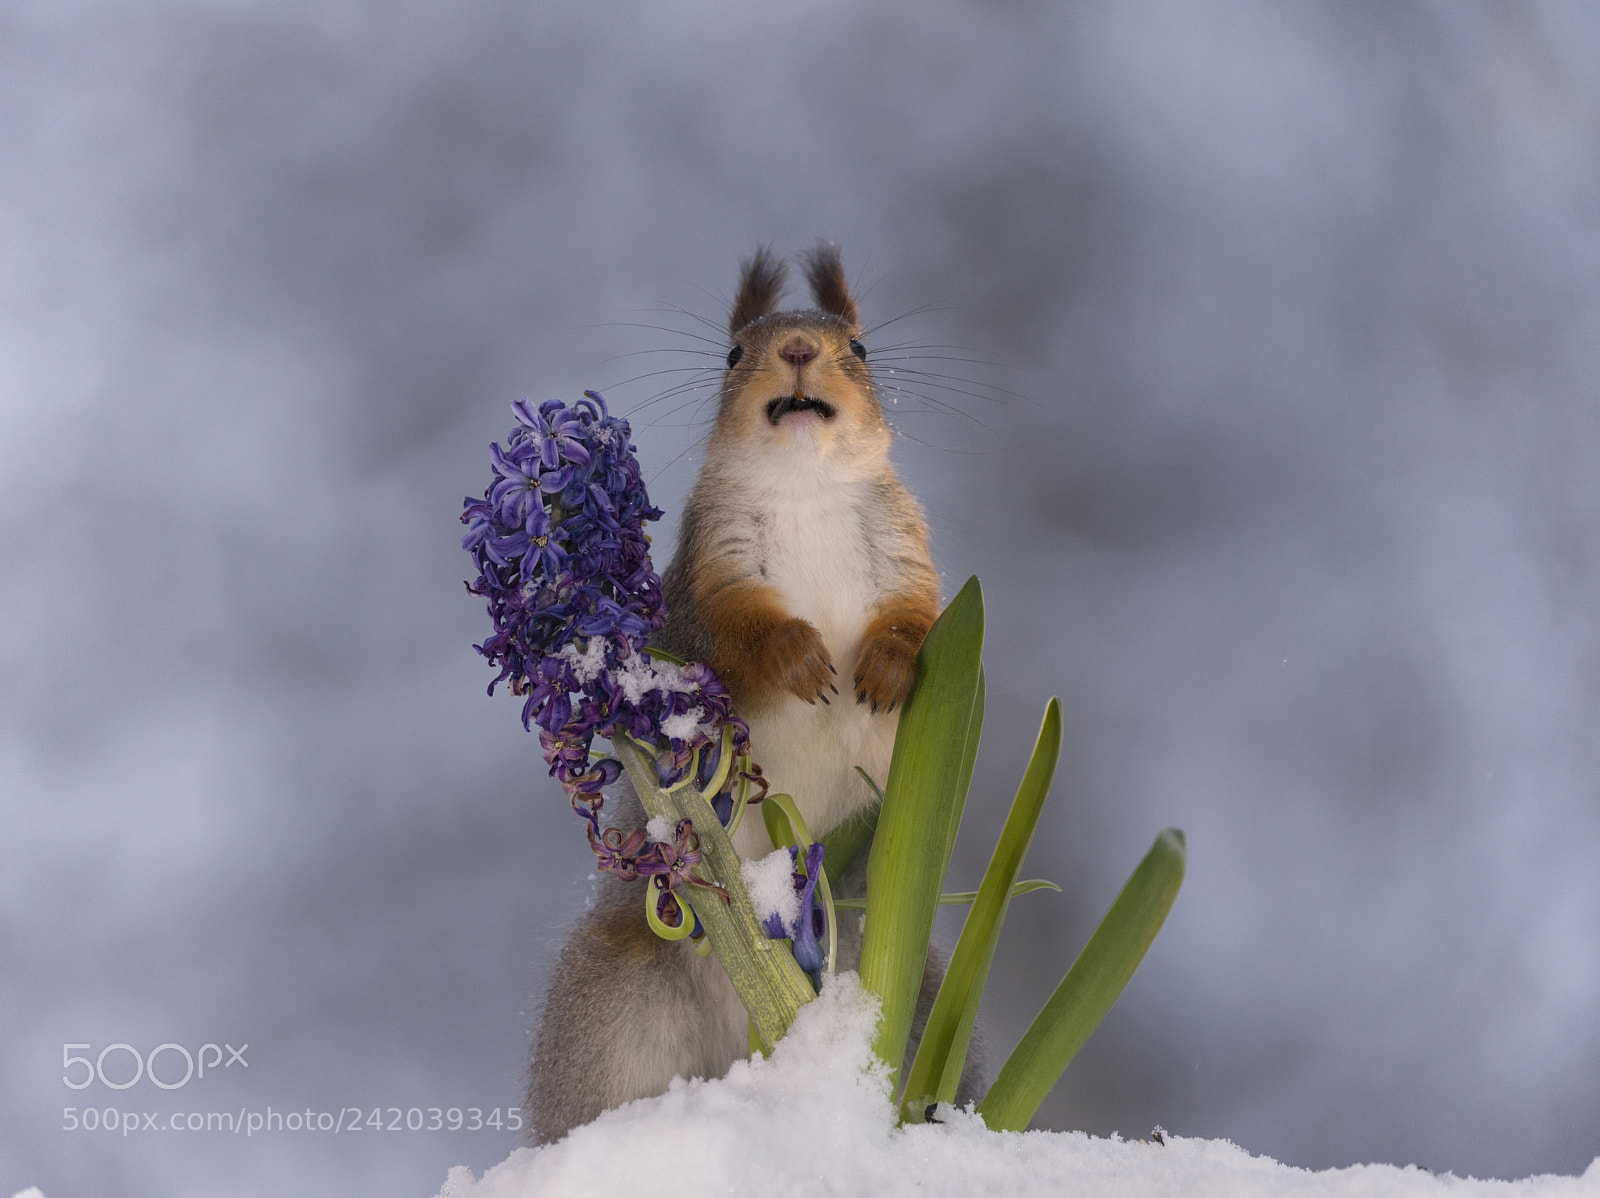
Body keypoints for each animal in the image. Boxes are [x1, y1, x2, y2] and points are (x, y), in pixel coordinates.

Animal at [526, 245, 973, 1143]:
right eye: (734, 355)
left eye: (859, 349)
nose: (798, 348)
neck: (807, 489)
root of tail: (761, 1037)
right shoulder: (705, 586)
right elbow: (736, 643)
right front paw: (798, 656)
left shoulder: (910, 557)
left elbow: (915, 620)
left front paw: (884, 666)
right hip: (610, 1004)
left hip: (916, 1003)